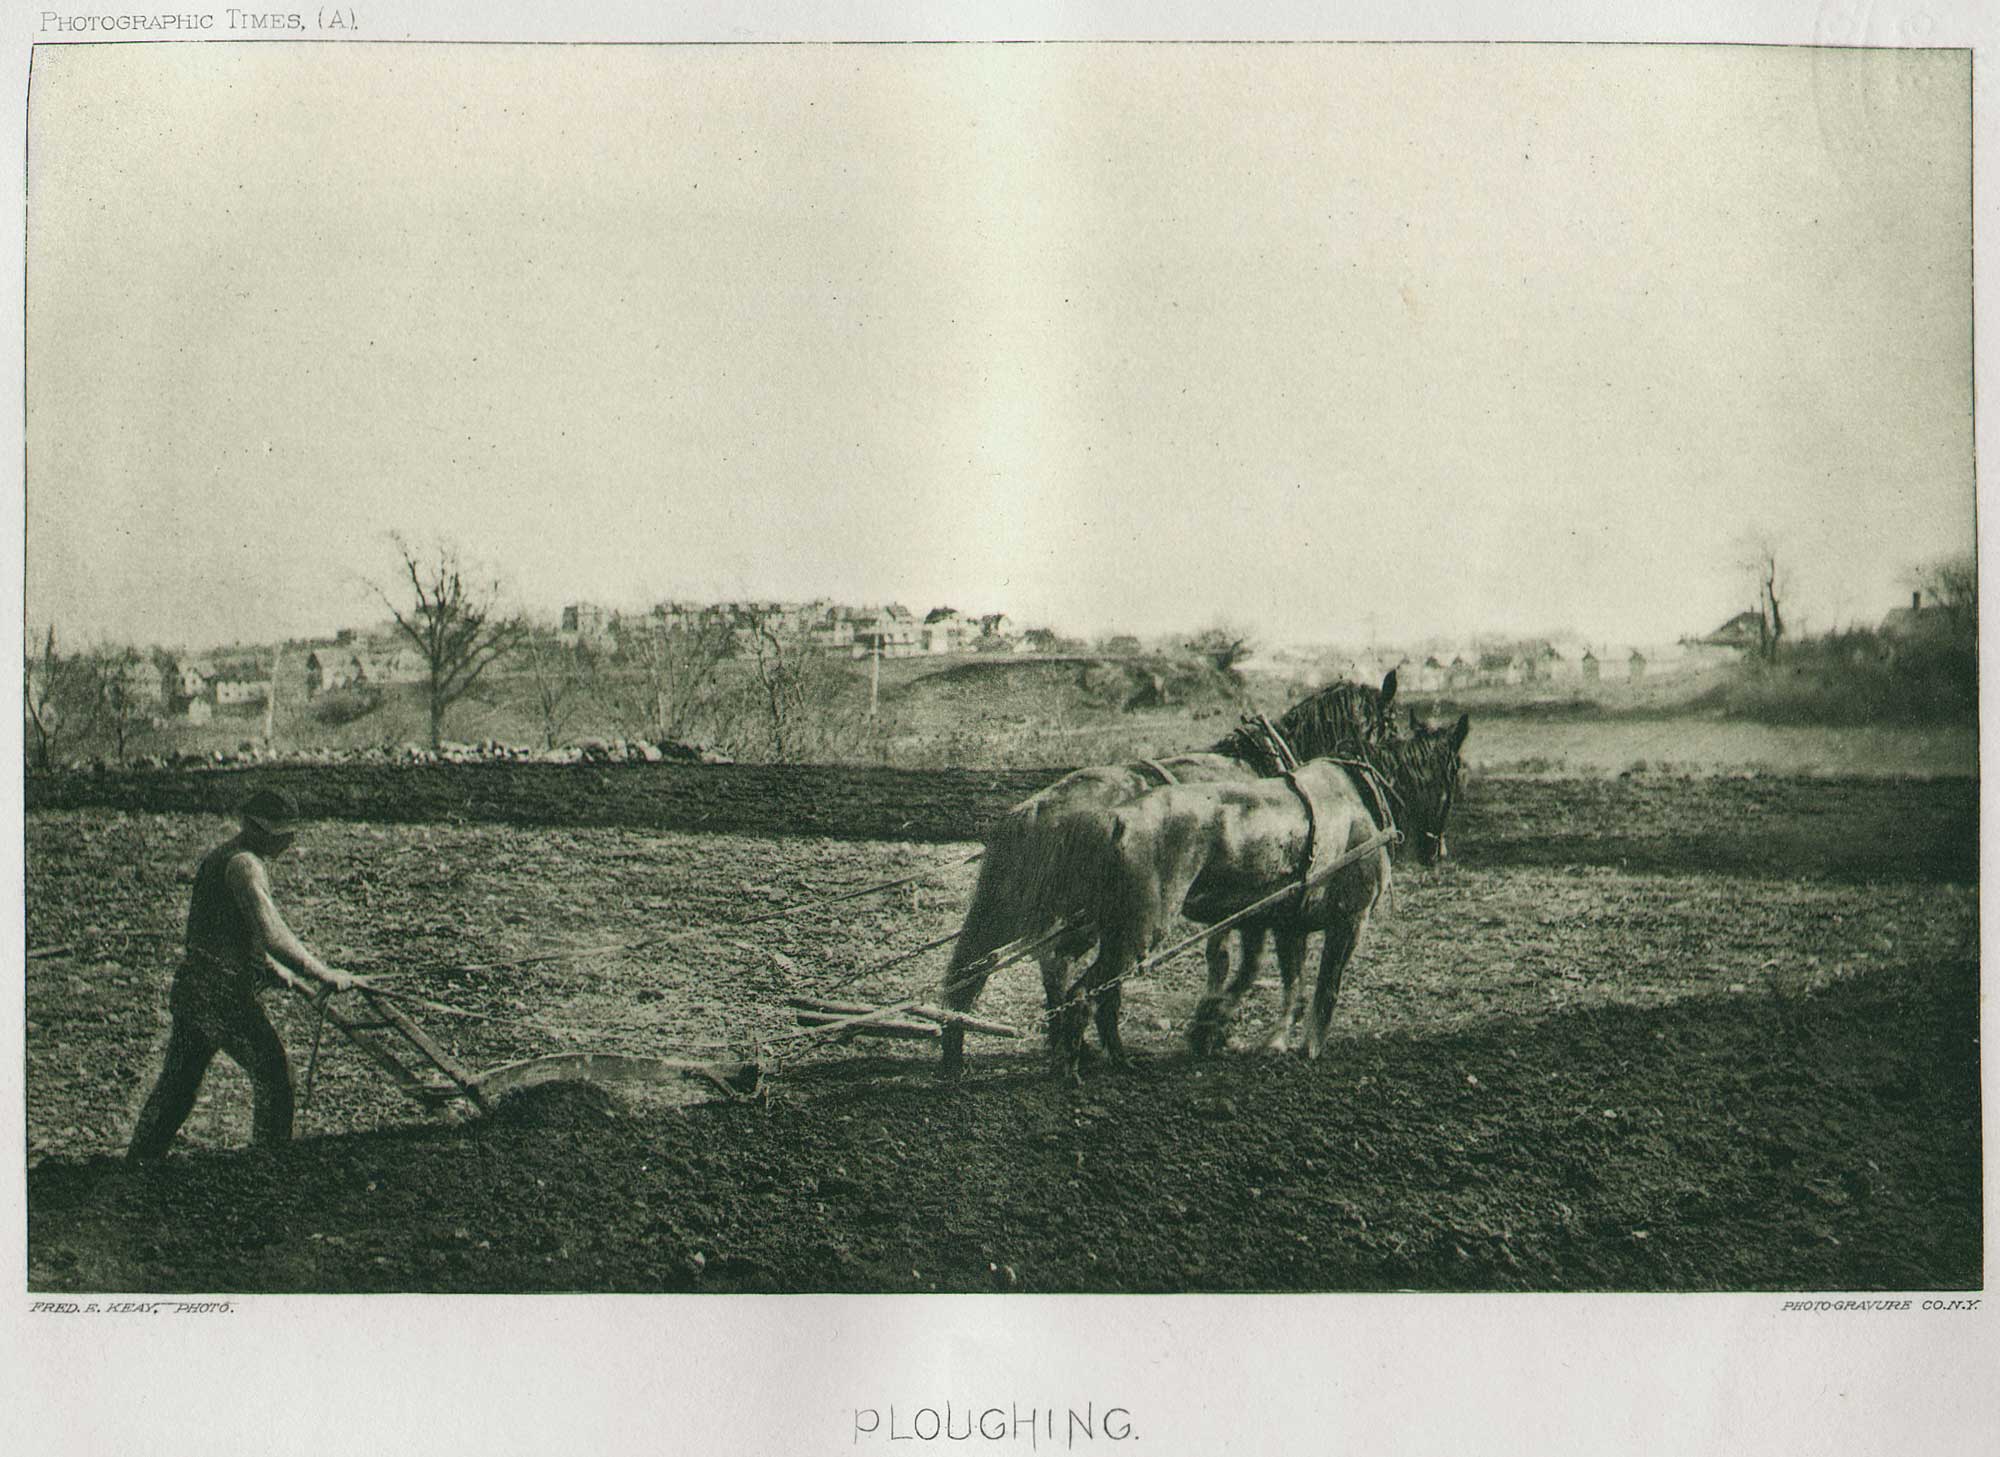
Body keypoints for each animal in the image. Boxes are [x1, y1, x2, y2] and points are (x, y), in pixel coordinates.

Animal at [936, 672, 1408, 1072]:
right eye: (1393, 726)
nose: (1395, 786)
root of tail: (1030, 810)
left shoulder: (1250, 908)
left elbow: (1231, 962)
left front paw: (1213, 1029)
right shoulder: (1253, 910)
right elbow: (1240, 965)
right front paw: (1212, 1028)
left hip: (1028, 912)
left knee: (980, 973)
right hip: (1089, 919)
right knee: (1061, 972)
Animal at [1048, 716, 1472, 1080]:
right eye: (1454, 772)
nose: (1439, 851)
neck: (1358, 795)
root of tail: (1119, 819)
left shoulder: (1286, 923)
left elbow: (1286, 984)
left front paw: (1251, 1036)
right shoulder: (1350, 919)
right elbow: (1325, 987)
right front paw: (1309, 1046)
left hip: (1116, 931)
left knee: (1087, 987)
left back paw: (1108, 1057)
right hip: (1140, 930)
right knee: (1083, 990)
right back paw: (1074, 1064)